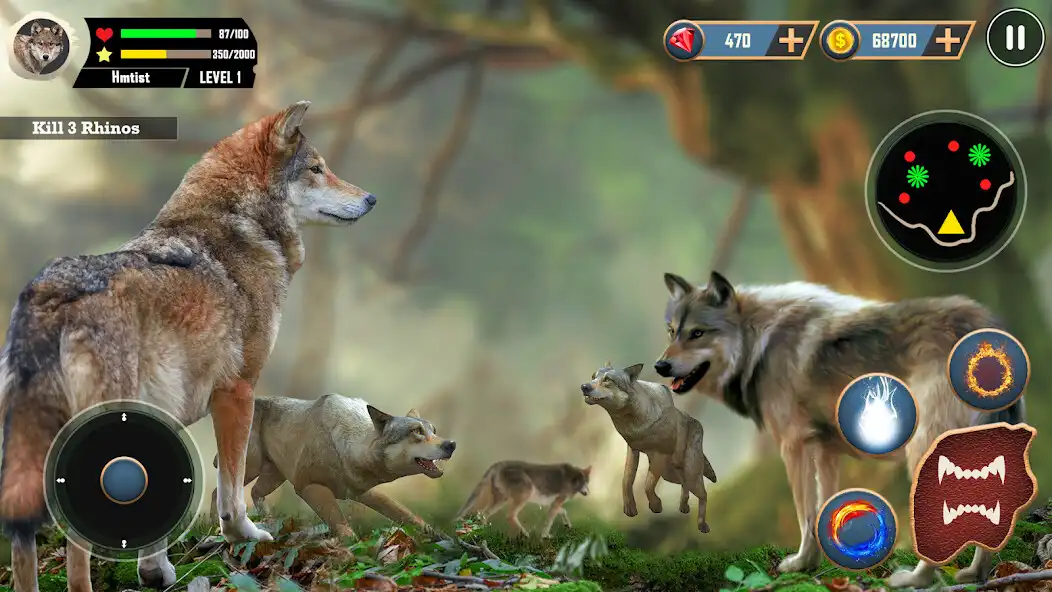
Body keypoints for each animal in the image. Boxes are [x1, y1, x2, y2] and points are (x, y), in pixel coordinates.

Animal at [0, 100, 377, 592]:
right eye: (317, 169)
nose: (371, 199)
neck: (240, 226)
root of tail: (51, 292)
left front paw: (154, 571)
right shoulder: (238, 391)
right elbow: (232, 492)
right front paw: (245, 535)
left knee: (23, 545)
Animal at [209, 395, 456, 538]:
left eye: (433, 430)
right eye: (417, 431)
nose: (451, 444)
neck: (348, 448)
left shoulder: (363, 492)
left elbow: (408, 515)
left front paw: (443, 538)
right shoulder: (309, 488)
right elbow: (346, 531)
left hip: (274, 475)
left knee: (255, 492)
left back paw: (267, 524)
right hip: (251, 468)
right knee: (218, 492)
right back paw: (216, 528)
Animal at [455, 461, 591, 538]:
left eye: (588, 482)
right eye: (584, 483)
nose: (588, 493)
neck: (572, 479)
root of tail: (499, 464)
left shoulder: (551, 504)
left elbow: (563, 512)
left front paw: (567, 524)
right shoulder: (556, 503)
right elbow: (549, 522)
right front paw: (545, 536)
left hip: (501, 500)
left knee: (483, 513)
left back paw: (483, 532)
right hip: (524, 495)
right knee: (509, 516)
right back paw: (525, 534)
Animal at [580, 363, 717, 532]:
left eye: (608, 380)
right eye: (594, 377)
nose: (583, 387)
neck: (636, 423)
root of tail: (699, 424)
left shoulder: (659, 455)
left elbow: (647, 485)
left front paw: (656, 505)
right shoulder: (633, 450)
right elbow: (626, 480)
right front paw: (630, 509)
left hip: (689, 474)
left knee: (704, 494)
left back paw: (702, 525)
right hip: (670, 475)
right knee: (685, 487)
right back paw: (684, 507)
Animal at [654, 271, 1026, 588]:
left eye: (697, 333)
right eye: (672, 331)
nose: (660, 365)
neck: (758, 341)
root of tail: (987, 326)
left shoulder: (794, 446)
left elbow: (805, 513)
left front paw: (800, 563)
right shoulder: (826, 452)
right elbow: (825, 508)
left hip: (924, 453)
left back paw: (916, 579)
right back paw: (976, 574)